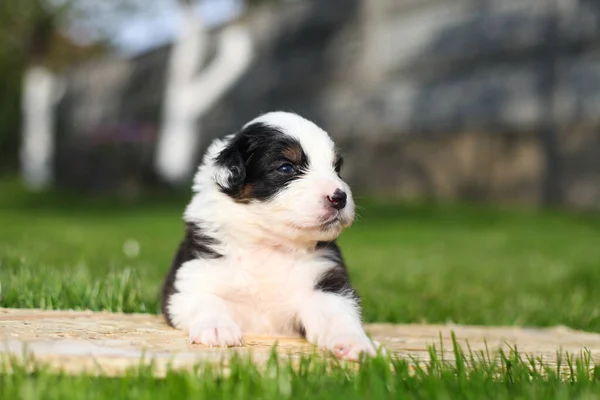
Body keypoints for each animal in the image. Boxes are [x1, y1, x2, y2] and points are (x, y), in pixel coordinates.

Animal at [162, 111, 382, 360]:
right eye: (286, 168)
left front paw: (356, 343)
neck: (269, 244)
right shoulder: (192, 277)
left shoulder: (325, 285)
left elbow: (337, 315)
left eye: (336, 168)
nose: (339, 197)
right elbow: (205, 300)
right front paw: (217, 329)